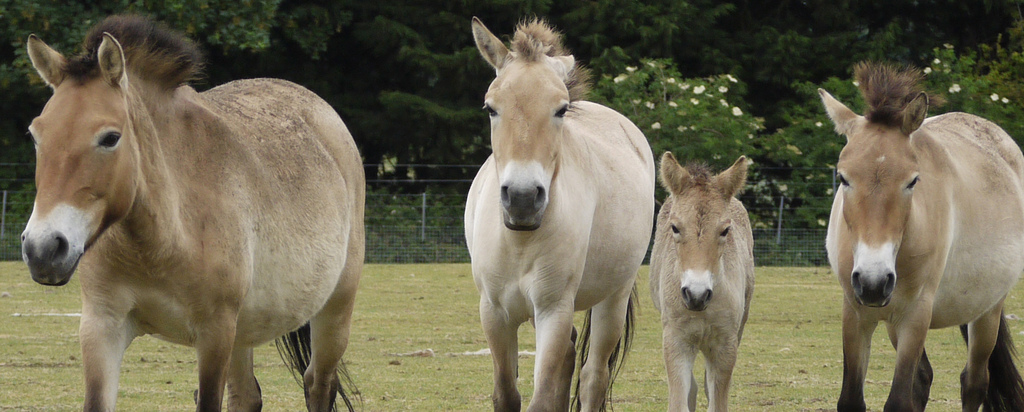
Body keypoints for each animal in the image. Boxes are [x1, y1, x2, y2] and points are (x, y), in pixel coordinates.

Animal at [18, 14, 364, 409]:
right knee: (247, 396)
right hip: (243, 332)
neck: (161, 240)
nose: (43, 249)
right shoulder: (101, 326)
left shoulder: (214, 333)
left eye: (110, 138)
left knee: (318, 385)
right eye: (35, 135)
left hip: (333, 313)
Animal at [466, 16, 655, 412]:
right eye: (490, 108)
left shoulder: (553, 309)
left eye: (561, 109)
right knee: (569, 361)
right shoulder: (494, 312)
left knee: (593, 376)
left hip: (612, 299)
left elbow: (542, 398)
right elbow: (507, 394)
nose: (522, 197)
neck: (521, 240)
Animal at [651, 153, 757, 412]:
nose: (696, 294)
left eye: (725, 230)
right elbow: (680, 400)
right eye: (675, 227)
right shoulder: (675, 340)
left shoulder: (726, 343)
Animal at [819, 62, 1024, 412]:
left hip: (987, 311)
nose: (873, 281)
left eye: (912, 181)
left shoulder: (915, 315)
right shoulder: (856, 313)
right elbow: (851, 400)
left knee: (974, 383)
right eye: (843, 178)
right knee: (924, 378)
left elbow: (899, 400)